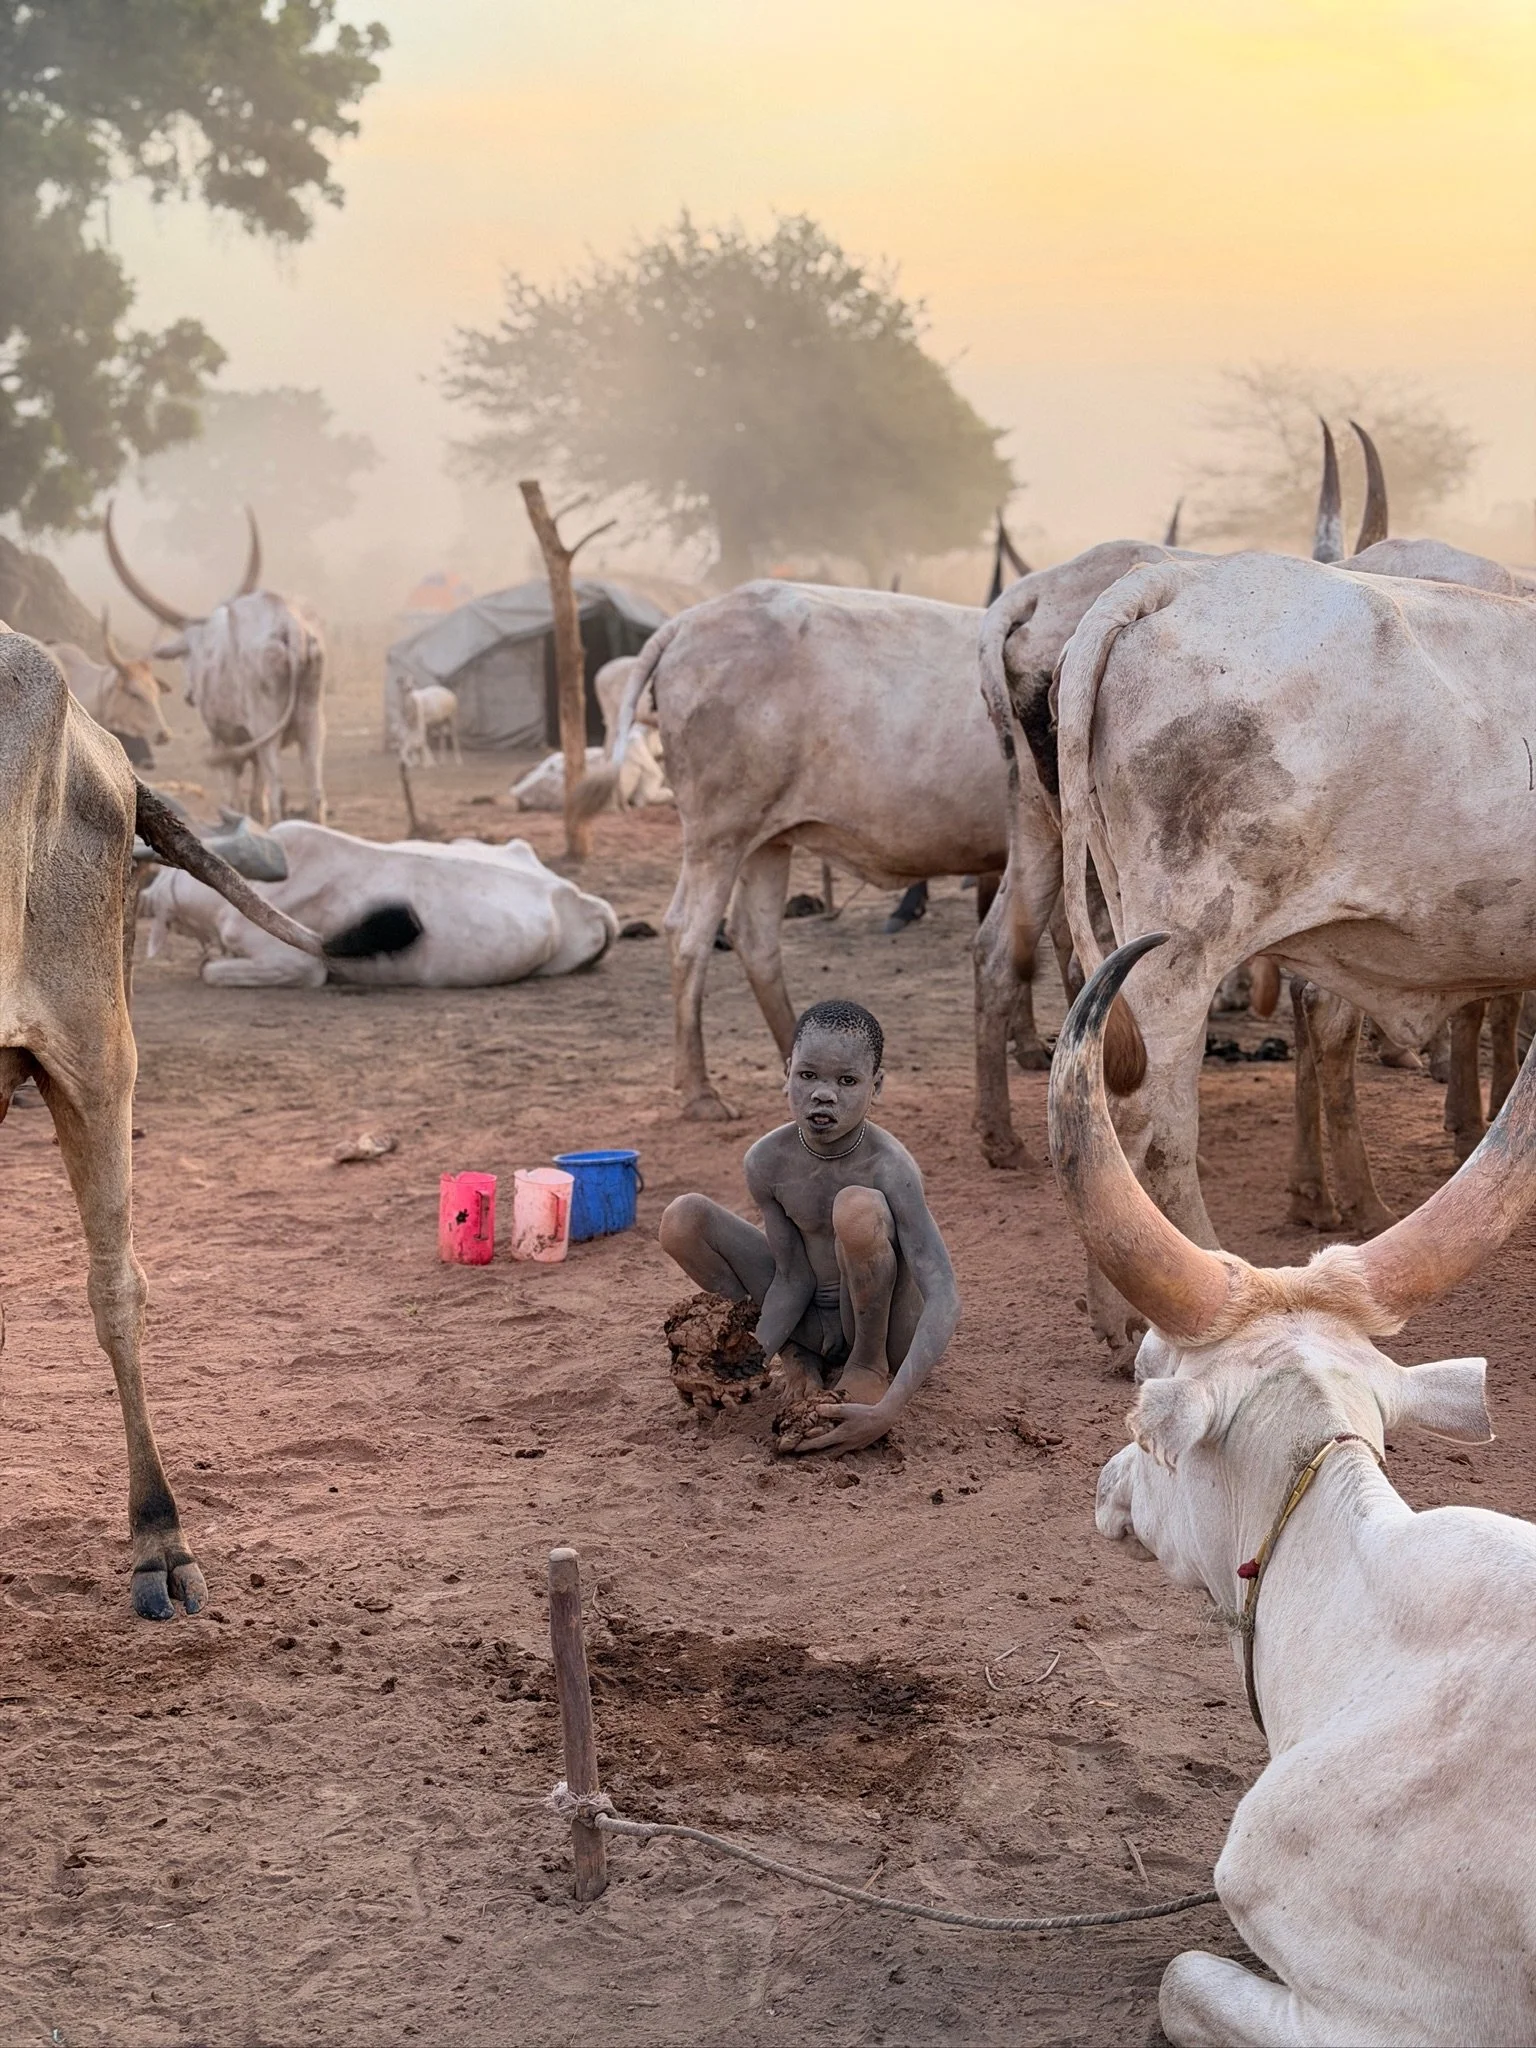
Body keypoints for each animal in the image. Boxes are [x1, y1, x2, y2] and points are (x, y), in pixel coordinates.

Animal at [105, 503, 327, 826]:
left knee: (279, 792)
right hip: (312, 721)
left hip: (265, 727)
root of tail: (290, 628)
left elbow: (237, 799)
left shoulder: (223, 740)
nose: (188, 695)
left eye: (187, 655)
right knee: (315, 793)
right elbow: (254, 800)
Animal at [577, 580, 1043, 1122]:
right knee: (689, 934)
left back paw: (799, 1057)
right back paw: (700, 1092)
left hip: (767, 841)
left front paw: (1027, 1040)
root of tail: (688, 621)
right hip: (720, 833)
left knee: (754, 938)